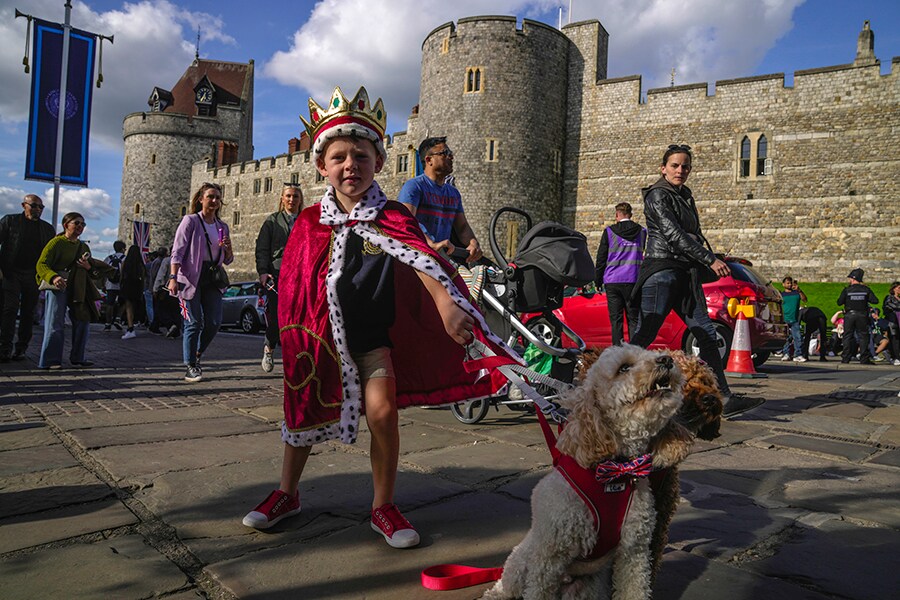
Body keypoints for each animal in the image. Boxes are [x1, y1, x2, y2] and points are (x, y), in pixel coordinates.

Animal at [486, 342, 688, 600]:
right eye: (624, 368)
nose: (666, 360)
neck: (615, 470)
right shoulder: (548, 558)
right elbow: (539, 588)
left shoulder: (634, 550)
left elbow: (634, 588)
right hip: (520, 564)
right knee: (505, 586)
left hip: (590, 586)